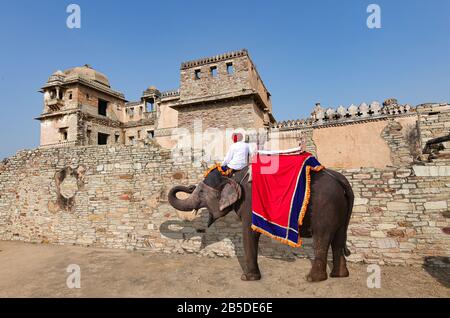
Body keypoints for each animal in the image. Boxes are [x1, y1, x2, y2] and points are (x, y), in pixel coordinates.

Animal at [167, 165, 354, 282]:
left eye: (200, 192)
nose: (190, 186)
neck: (234, 175)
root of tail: (341, 180)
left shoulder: (249, 203)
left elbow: (248, 232)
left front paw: (247, 278)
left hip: (325, 208)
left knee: (322, 239)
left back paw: (313, 279)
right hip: (340, 209)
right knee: (338, 238)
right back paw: (339, 275)